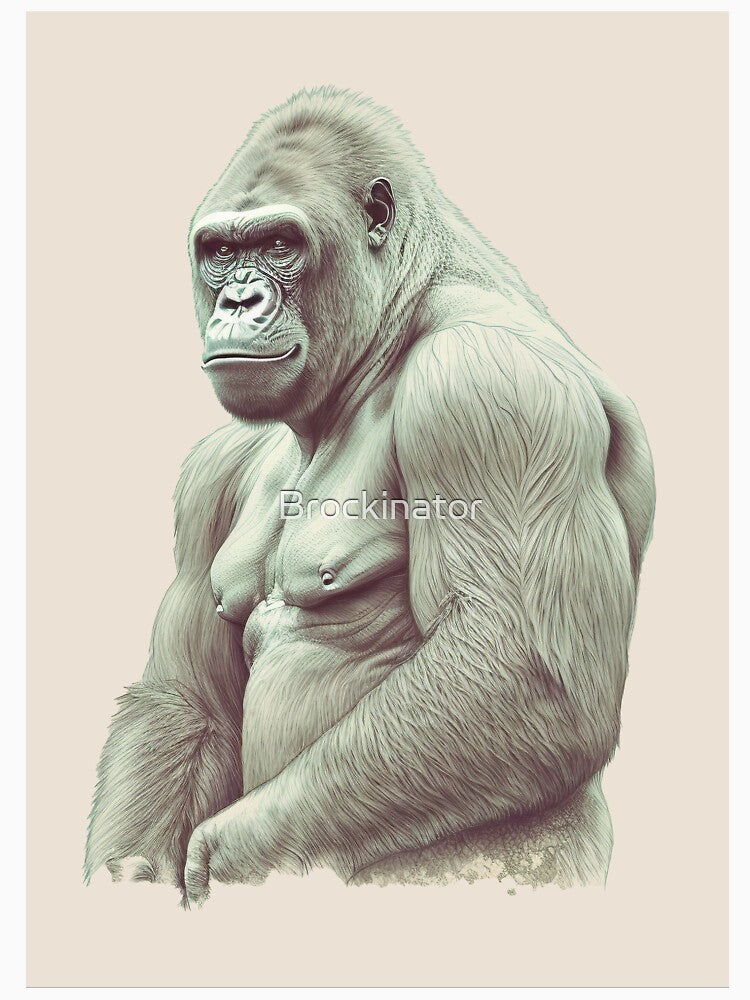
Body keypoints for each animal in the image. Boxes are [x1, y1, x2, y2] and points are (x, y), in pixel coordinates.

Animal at [84, 87, 655, 903]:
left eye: (280, 244)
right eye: (221, 252)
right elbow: (183, 698)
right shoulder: (211, 472)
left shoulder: (485, 381)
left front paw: (227, 859)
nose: (238, 300)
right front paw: (129, 881)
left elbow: (521, 671)